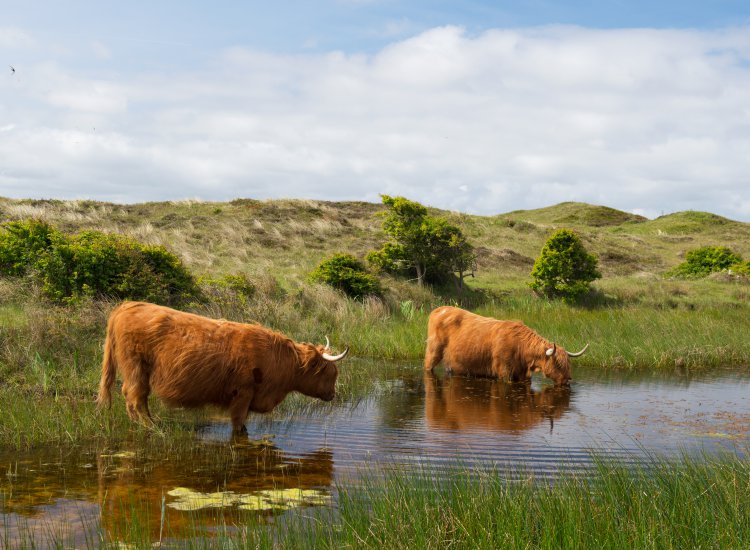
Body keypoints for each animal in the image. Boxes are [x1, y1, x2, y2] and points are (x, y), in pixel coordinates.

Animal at [96, 304, 350, 434]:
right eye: (330, 373)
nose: (333, 395)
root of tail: (126, 306)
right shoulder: (243, 394)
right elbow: (238, 426)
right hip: (136, 368)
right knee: (135, 396)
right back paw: (150, 426)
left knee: (135, 397)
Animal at [426, 306, 592, 388]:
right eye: (557, 364)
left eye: (568, 363)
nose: (568, 380)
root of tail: (439, 309)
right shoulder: (504, 371)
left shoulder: (523, 374)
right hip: (433, 351)